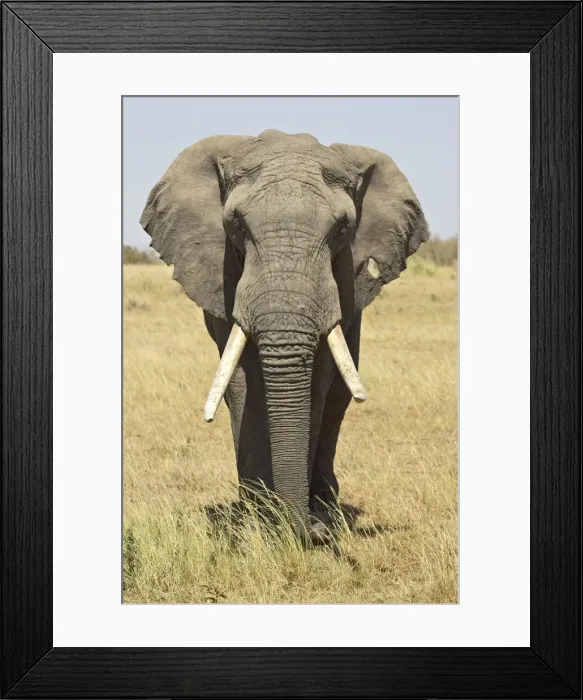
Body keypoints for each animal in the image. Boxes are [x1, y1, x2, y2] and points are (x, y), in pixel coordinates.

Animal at [140, 129, 429, 544]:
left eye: (342, 229)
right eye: (237, 225)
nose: (316, 533)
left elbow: (319, 380)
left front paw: (300, 518)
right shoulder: (226, 276)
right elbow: (242, 379)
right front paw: (260, 521)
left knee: (338, 397)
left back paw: (324, 503)